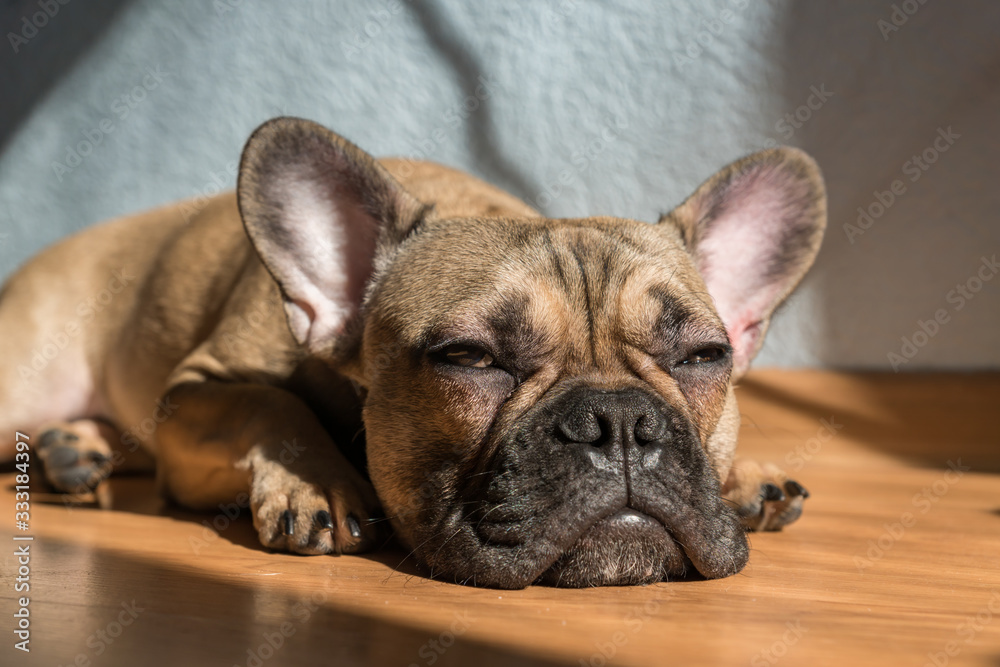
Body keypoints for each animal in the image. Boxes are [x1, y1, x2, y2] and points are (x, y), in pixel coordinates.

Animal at [0, 118, 824, 588]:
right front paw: (317, 482)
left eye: (703, 357)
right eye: (470, 358)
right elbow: (268, 396)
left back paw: (75, 449)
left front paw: (745, 478)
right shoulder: (193, 392)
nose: (619, 421)